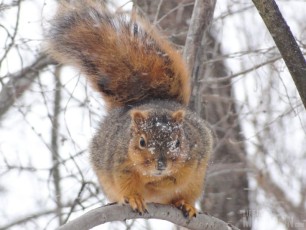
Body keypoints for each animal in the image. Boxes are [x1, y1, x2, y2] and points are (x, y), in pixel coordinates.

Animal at [47, 0, 213, 219]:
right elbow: (127, 184)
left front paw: (161, 182)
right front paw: (135, 197)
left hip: (197, 181)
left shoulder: (193, 158)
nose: (160, 165)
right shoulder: (119, 162)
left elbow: (176, 180)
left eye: (178, 142)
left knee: (185, 193)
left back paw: (185, 204)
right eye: (142, 142)